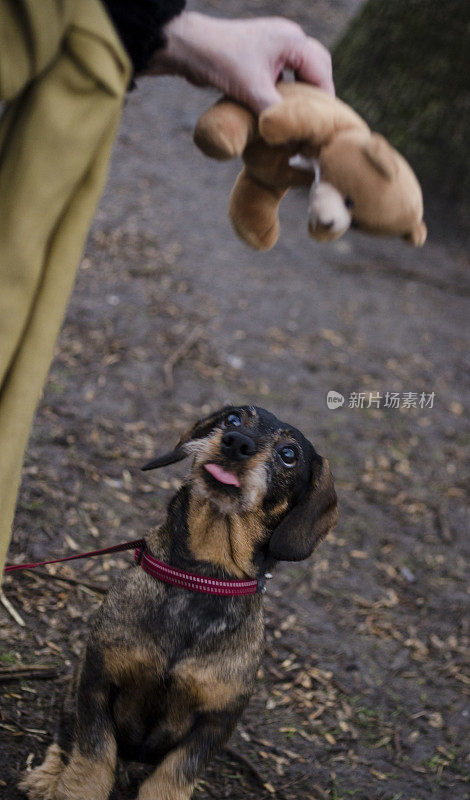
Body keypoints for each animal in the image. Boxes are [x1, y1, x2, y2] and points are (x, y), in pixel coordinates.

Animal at [21, 406, 338, 800]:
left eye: (289, 454)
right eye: (233, 419)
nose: (236, 442)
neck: (199, 576)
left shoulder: (215, 723)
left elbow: (172, 777)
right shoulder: (96, 681)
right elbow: (93, 753)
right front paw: (74, 788)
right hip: (73, 685)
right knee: (66, 737)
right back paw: (45, 777)